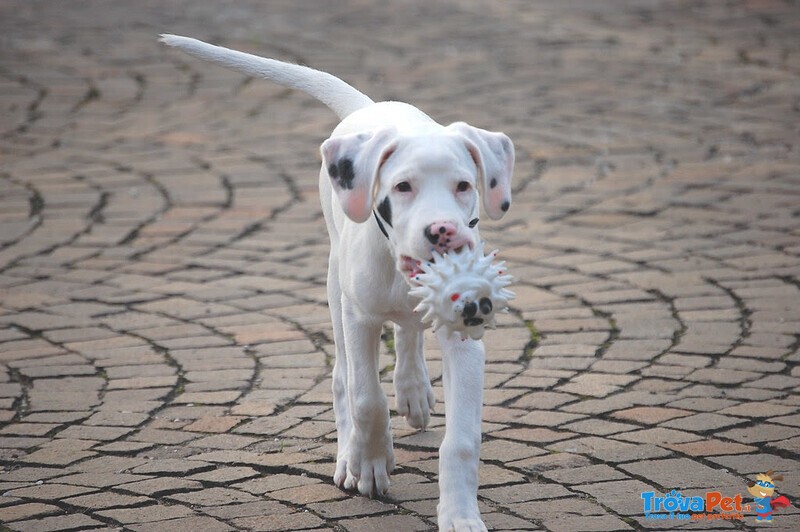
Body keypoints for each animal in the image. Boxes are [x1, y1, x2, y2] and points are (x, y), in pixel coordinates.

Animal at [159, 34, 516, 532]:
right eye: (403, 187)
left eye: (464, 185)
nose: (443, 231)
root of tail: (370, 107)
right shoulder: (358, 316)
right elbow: (366, 398)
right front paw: (369, 463)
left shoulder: (464, 338)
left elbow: (461, 440)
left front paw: (460, 516)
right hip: (334, 291)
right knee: (343, 377)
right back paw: (354, 450)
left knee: (408, 331)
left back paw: (412, 387)